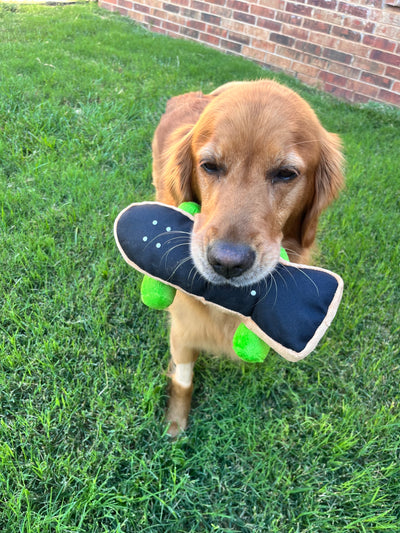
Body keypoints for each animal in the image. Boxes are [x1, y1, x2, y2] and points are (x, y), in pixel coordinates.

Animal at [152, 80, 346, 436]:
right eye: (209, 166)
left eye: (286, 174)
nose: (227, 263)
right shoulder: (183, 327)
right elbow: (183, 379)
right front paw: (175, 426)